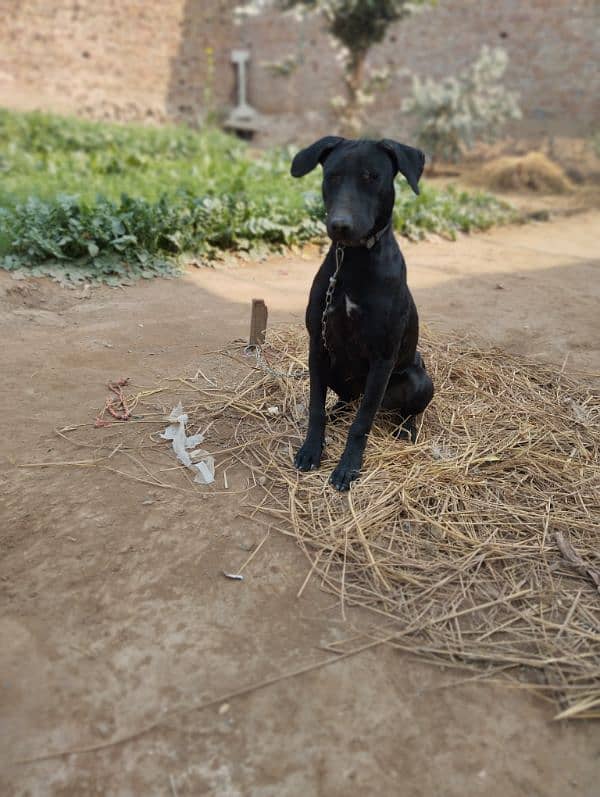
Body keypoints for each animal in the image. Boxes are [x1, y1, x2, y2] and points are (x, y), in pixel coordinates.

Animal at [290, 135, 432, 492]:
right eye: (332, 176)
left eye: (371, 177)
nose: (340, 225)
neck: (352, 261)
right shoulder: (317, 346)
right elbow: (315, 406)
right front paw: (312, 449)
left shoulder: (383, 357)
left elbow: (362, 420)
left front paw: (348, 467)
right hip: (335, 369)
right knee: (345, 401)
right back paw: (338, 411)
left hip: (418, 380)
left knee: (398, 410)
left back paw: (405, 429)